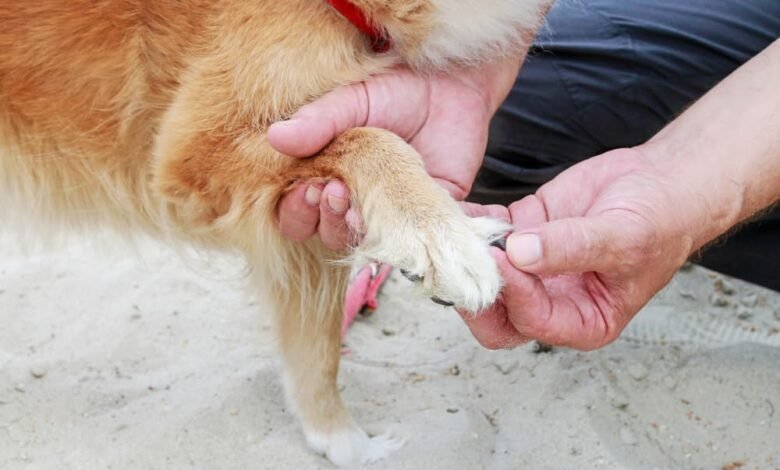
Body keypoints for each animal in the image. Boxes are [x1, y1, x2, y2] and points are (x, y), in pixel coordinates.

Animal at [0, 0, 548, 466]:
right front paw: (439, 233)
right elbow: (367, 136)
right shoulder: (196, 152)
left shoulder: (303, 223)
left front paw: (338, 438)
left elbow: (317, 345)